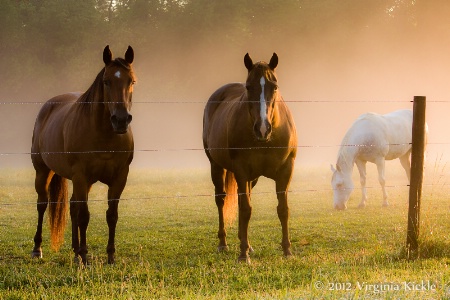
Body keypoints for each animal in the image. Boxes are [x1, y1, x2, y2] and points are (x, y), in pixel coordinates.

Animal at [30, 45, 135, 264]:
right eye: (106, 81)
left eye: (132, 81)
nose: (121, 120)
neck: (104, 136)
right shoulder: (81, 176)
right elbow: (85, 215)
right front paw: (86, 257)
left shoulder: (119, 177)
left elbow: (111, 215)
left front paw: (110, 256)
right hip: (43, 172)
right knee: (42, 204)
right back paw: (38, 249)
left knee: (73, 206)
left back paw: (75, 249)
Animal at [202, 52, 298, 262]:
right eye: (248, 87)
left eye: (275, 86)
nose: (262, 128)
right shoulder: (241, 171)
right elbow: (246, 209)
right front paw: (243, 254)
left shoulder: (285, 171)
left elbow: (283, 209)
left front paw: (287, 250)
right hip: (217, 166)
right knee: (221, 200)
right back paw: (224, 243)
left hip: (251, 179)